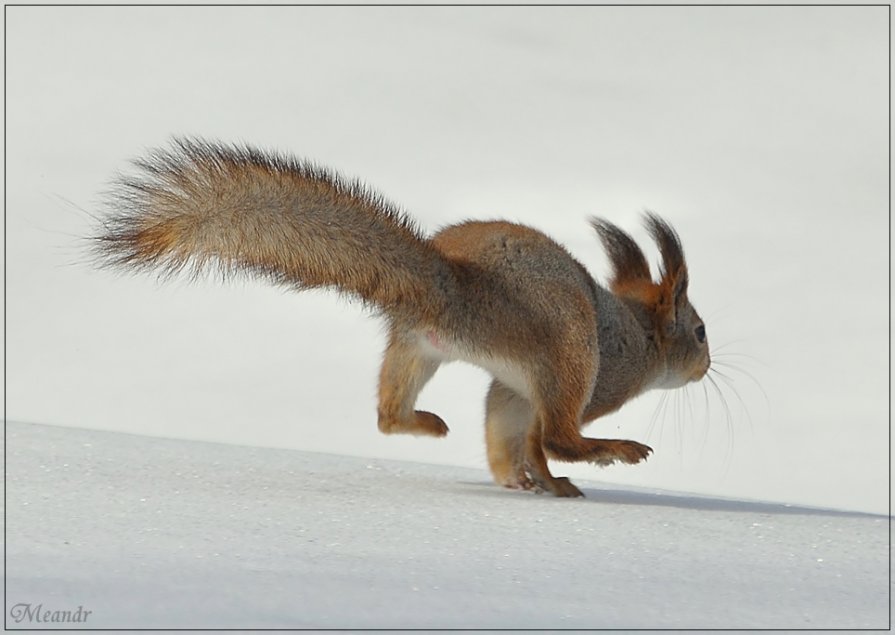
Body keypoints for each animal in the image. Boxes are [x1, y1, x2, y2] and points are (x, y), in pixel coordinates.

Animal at [94, 138, 712, 496]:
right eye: (701, 331)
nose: (707, 367)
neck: (641, 334)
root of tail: (455, 284)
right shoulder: (593, 381)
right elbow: (544, 438)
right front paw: (551, 479)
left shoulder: (511, 387)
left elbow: (508, 433)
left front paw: (522, 480)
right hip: (571, 348)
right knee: (562, 433)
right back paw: (613, 453)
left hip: (415, 347)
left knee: (389, 415)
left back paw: (431, 427)